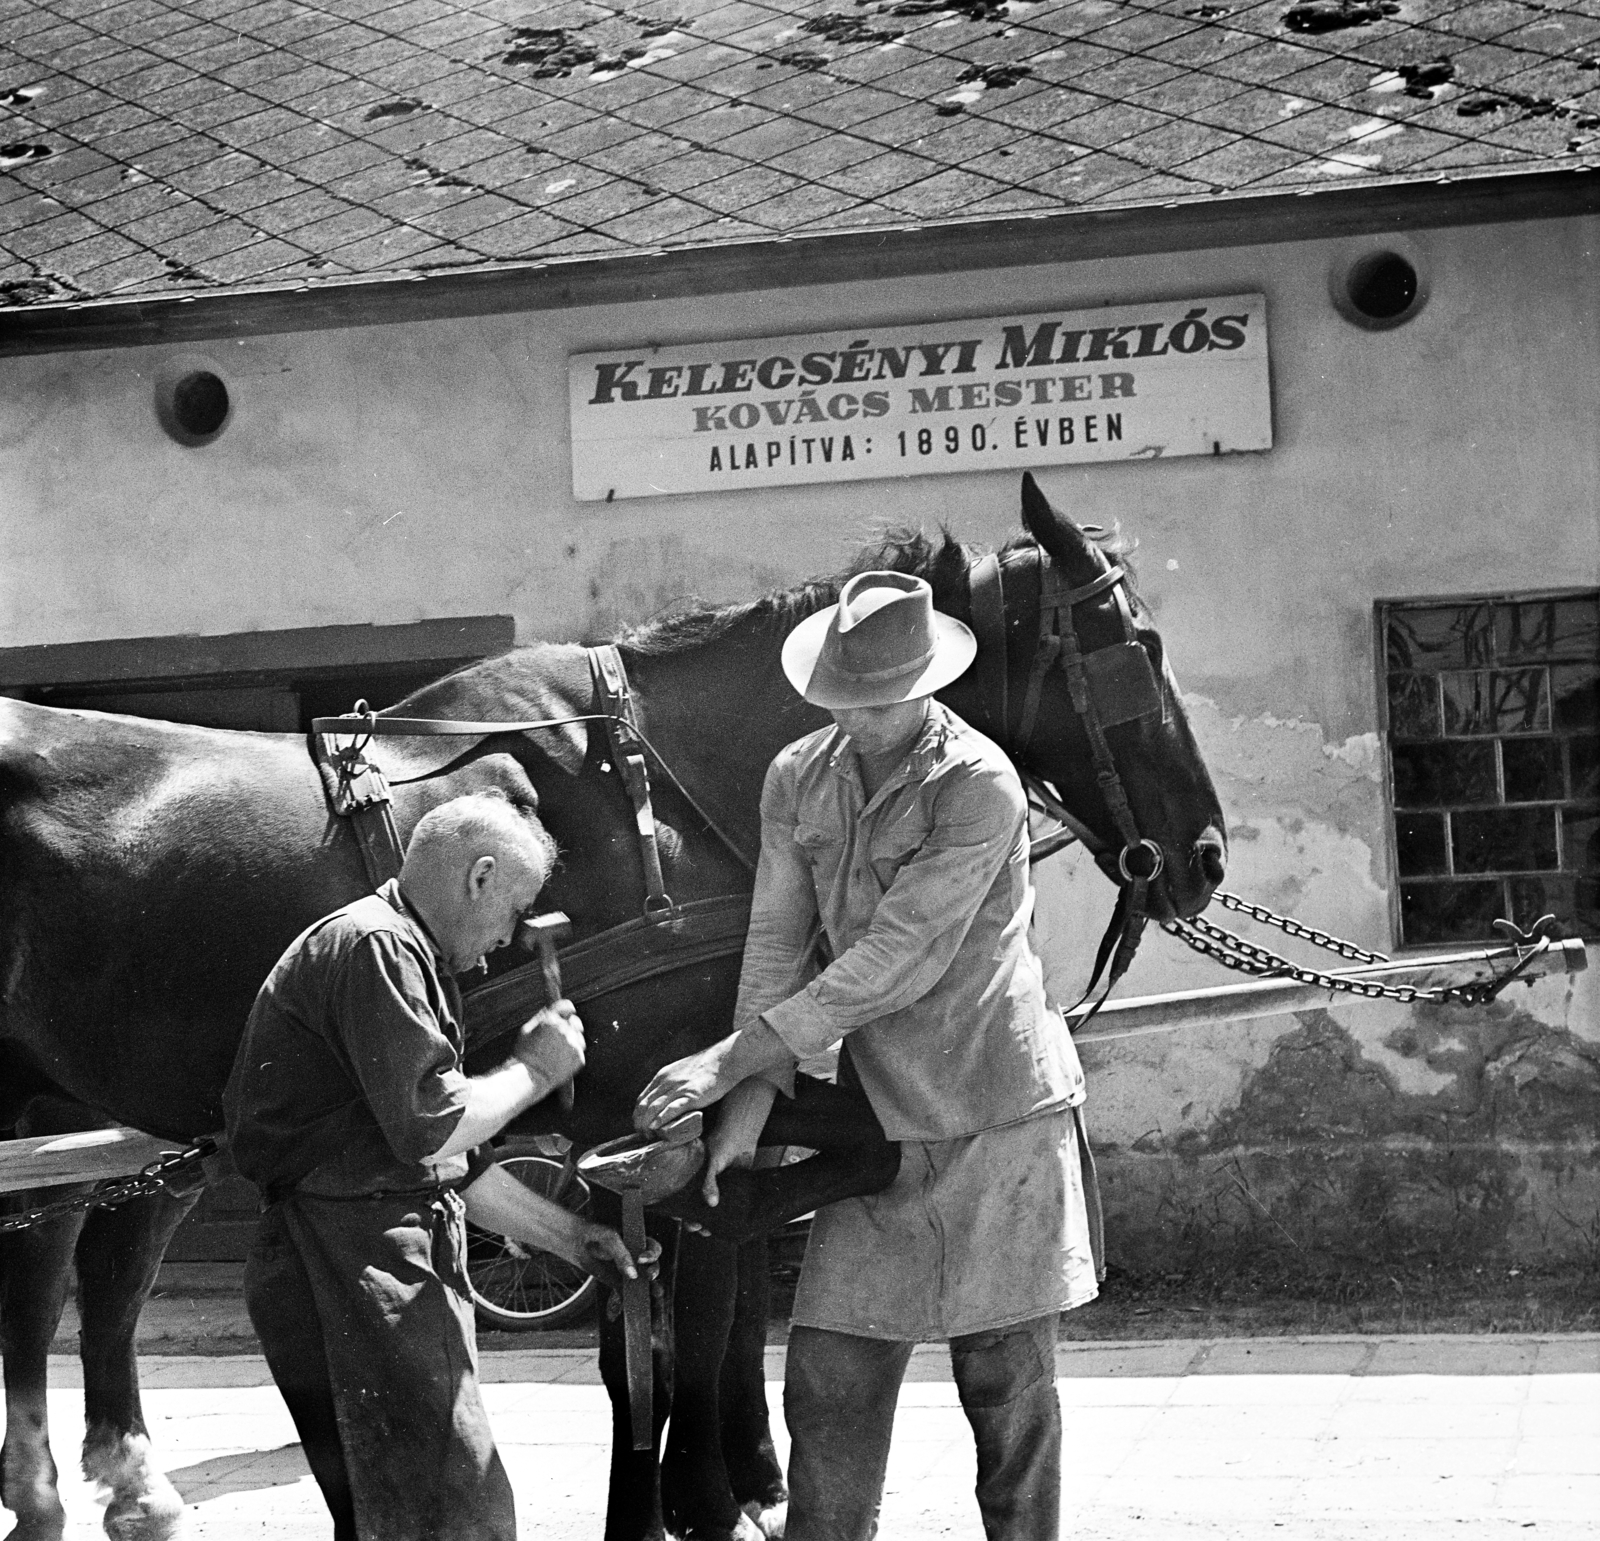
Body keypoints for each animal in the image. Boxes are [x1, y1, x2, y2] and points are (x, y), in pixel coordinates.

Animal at [3, 473, 1222, 1541]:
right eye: (1139, 648)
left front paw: (705, 1486)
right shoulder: (648, 1105)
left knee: (76, 1265)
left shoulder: (675, 1106)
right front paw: (702, 1498)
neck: (653, 795)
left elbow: (701, 1287)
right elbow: (680, 1328)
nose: (1204, 854)